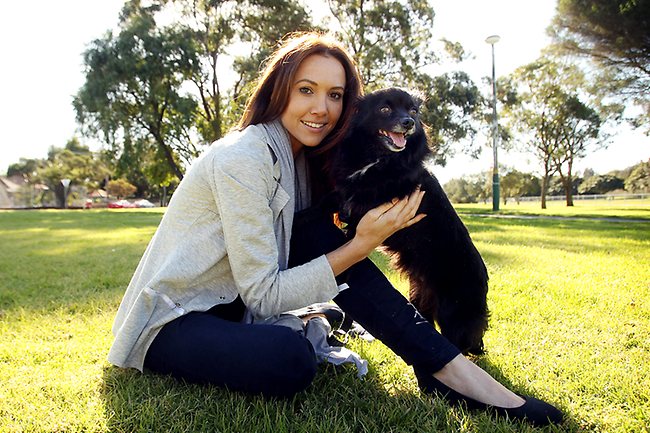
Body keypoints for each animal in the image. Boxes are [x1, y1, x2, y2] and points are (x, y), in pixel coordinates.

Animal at [330, 88, 486, 354]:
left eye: (413, 111)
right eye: (384, 109)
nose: (409, 123)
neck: (377, 157)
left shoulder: (367, 206)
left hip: (452, 313)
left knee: (459, 345)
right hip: (420, 298)